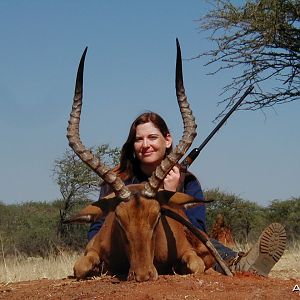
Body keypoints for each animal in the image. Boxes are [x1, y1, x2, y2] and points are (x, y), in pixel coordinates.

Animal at [66, 39, 214, 282]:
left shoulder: (190, 255)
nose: (143, 275)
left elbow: (195, 266)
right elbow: (81, 268)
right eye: (119, 220)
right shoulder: (90, 250)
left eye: (157, 217)